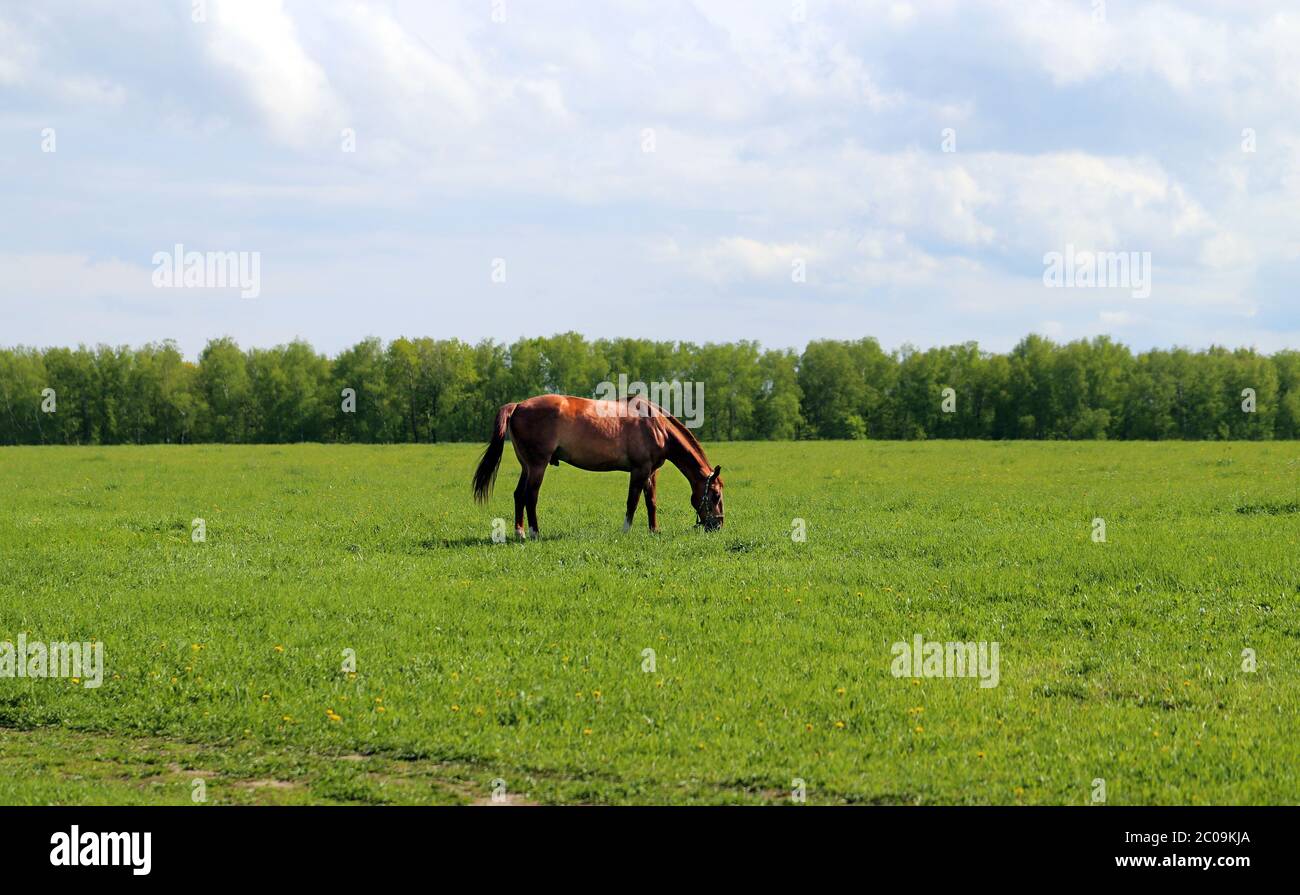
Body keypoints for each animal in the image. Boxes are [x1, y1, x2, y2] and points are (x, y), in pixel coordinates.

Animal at [472, 393, 724, 538]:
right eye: (715, 495)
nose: (718, 525)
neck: (655, 424)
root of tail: (517, 406)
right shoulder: (639, 470)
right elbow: (632, 502)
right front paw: (626, 530)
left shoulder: (650, 472)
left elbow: (650, 502)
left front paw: (654, 530)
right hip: (537, 465)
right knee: (530, 496)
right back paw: (534, 532)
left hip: (526, 466)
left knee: (518, 495)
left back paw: (520, 532)